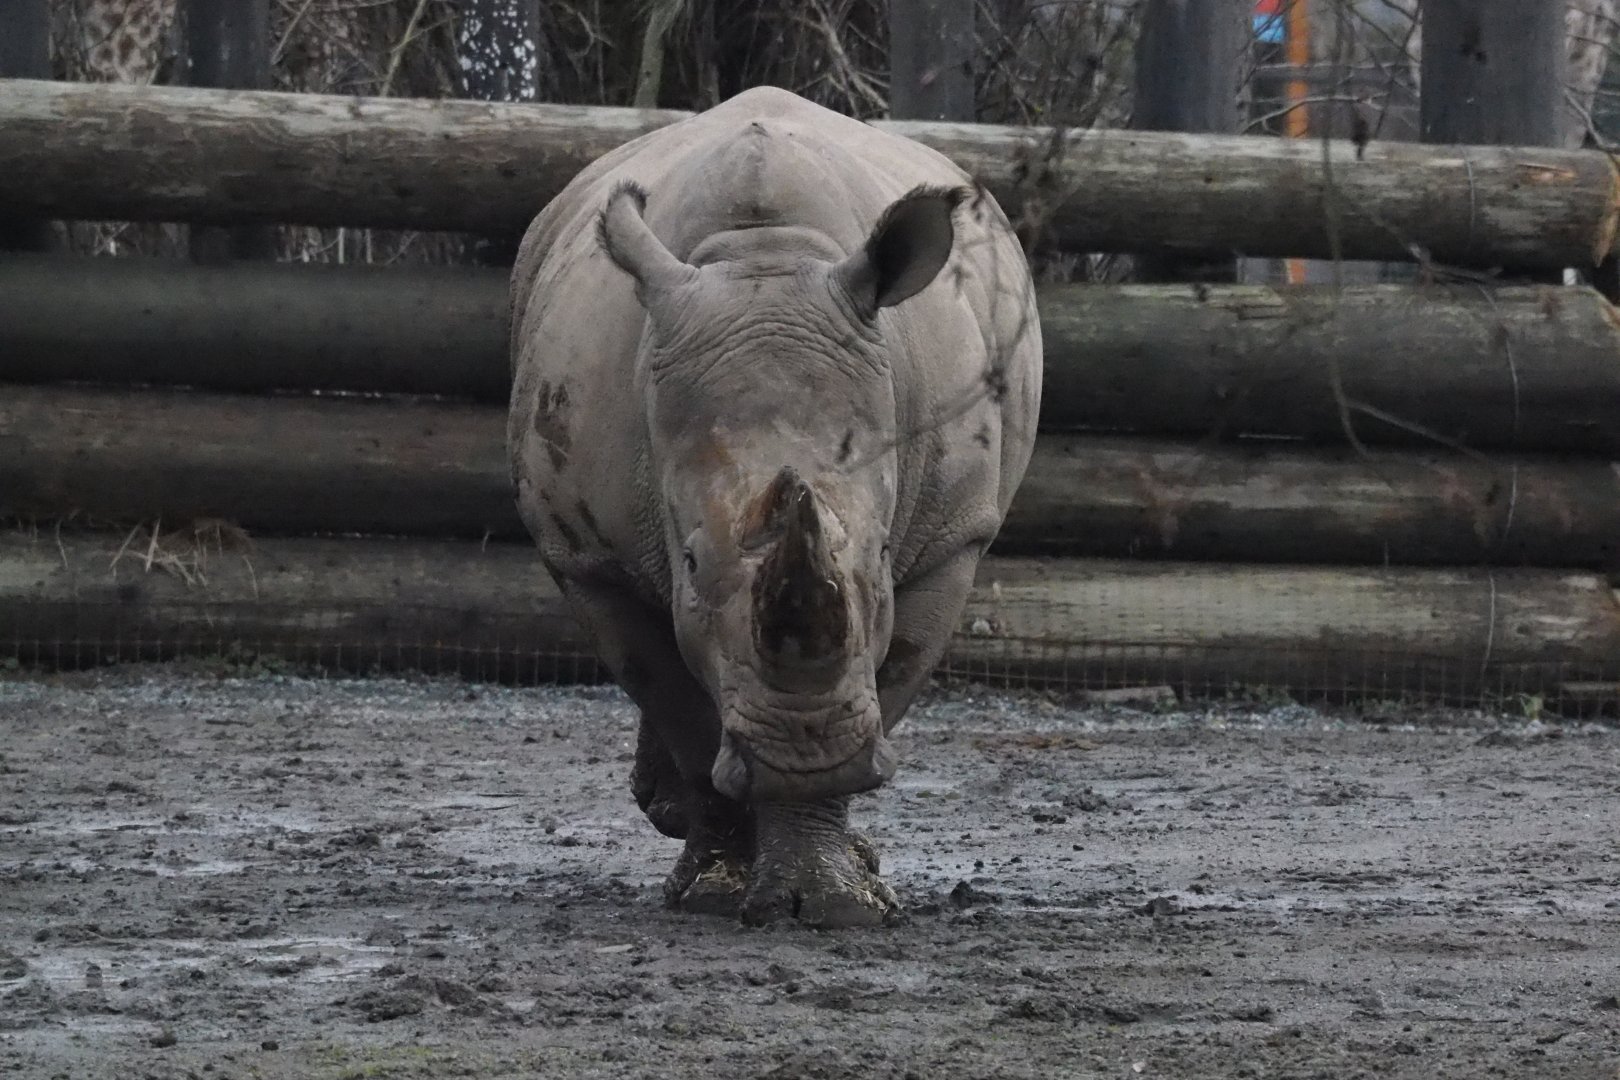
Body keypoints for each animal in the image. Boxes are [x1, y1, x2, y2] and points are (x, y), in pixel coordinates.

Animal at [508, 86, 1041, 928]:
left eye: (882, 554)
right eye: (690, 562)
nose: (805, 750)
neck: (763, 255)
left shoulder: (952, 538)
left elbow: (888, 677)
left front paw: (834, 895)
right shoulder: (589, 557)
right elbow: (683, 710)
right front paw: (720, 887)